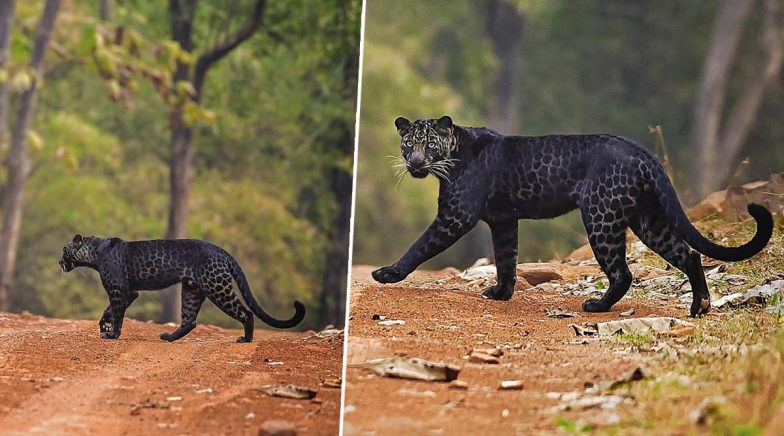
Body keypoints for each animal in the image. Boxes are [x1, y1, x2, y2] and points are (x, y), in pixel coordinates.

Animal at [60, 233, 306, 342]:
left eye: (64, 250)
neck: (94, 253)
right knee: (190, 320)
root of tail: (221, 251)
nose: (59, 262)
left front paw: (112, 334)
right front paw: (104, 325)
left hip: (217, 287)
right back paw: (169, 337)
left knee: (246, 312)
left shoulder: (119, 289)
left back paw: (246, 339)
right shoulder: (130, 292)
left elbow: (117, 312)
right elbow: (109, 310)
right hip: (192, 290)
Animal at [372, 114, 772, 316]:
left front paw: (388, 274)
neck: (453, 153)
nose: (415, 162)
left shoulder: (455, 215)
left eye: (429, 144)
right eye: (408, 144)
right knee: (688, 254)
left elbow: (420, 246)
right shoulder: (503, 221)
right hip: (648, 220)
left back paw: (596, 306)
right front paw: (500, 293)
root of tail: (640, 150)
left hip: (601, 217)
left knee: (623, 272)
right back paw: (699, 306)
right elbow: (506, 259)